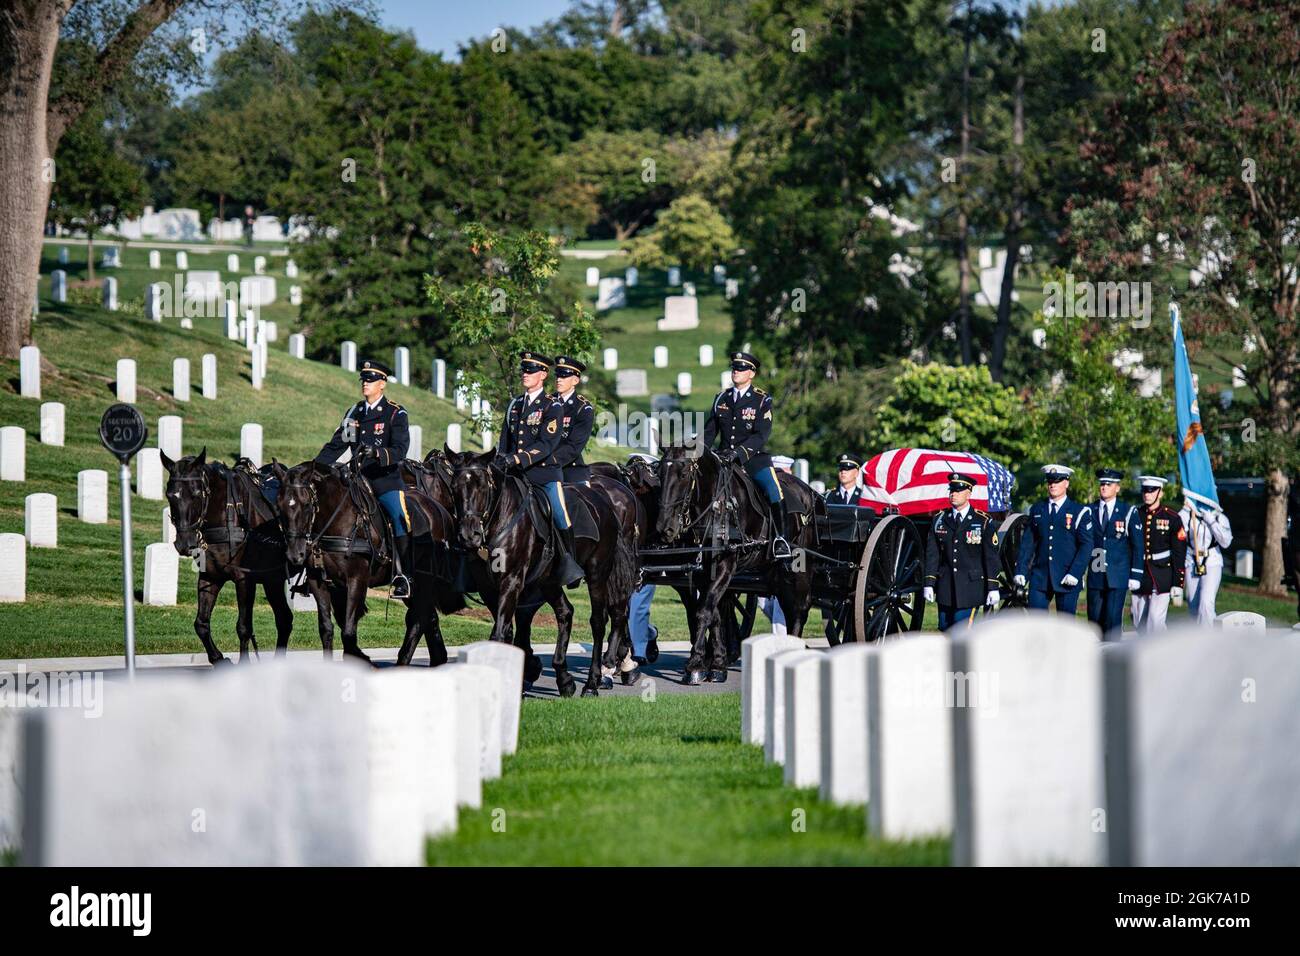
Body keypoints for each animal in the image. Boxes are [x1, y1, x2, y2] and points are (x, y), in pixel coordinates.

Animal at [161, 450, 293, 665]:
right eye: (170, 495)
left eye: (196, 494)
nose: (184, 544)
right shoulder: (210, 576)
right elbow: (201, 623)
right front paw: (218, 658)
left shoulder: (245, 579)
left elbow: (244, 626)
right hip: (272, 580)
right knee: (284, 619)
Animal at [276, 463, 460, 665]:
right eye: (279, 506)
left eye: (307, 505)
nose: (295, 554)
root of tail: (441, 511)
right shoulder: (319, 582)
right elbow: (327, 629)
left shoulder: (357, 580)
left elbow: (348, 632)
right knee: (428, 617)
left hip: (423, 581)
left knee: (417, 619)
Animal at [441, 444, 639, 697]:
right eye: (454, 487)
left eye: (482, 485)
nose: (469, 535)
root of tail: (605, 503)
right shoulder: (488, 588)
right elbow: (508, 630)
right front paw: (526, 672)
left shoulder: (512, 581)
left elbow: (501, 632)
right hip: (550, 582)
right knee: (566, 613)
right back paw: (565, 679)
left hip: (597, 574)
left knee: (599, 621)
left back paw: (592, 682)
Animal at [660, 444, 811, 686]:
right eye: (660, 473)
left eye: (683, 474)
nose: (665, 529)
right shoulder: (703, 573)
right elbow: (714, 614)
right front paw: (715, 664)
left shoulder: (725, 566)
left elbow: (704, 611)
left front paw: (695, 665)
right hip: (777, 572)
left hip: (799, 570)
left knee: (799, 610)